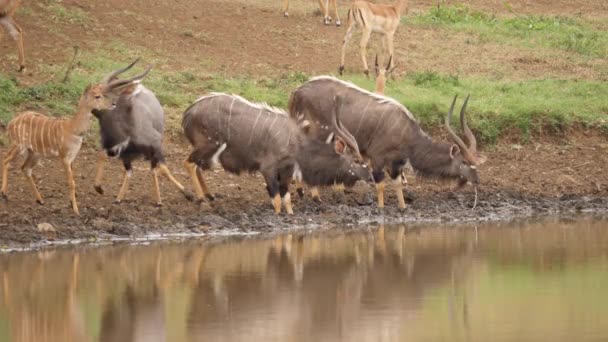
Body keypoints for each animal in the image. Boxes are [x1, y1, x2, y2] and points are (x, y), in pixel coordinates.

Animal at [2, 80, 117, 214]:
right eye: (97, 96)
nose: (114, 104)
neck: (73, 129)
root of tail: (10, 123)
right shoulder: (64, 157)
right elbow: (71, 182)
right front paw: (76, 210)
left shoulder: (72, 158)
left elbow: (73, 180)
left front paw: (72, 203)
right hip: (19, 145)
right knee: (6, 159)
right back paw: (4, 194)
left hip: (34, 153)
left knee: (25, 168)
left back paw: (40, 200)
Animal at [91, 58, 192, 206]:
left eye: (107, 97)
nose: (93, 109)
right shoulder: (120, 152)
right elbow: (113, 161)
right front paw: (107, 192)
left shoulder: (155, 145)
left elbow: (162, 169)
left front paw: (187, 194)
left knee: (154, 168)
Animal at [180, 91, 370, 214]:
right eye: (356, 160)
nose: (370, 176)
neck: (296, 142)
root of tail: (188, 112)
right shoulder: (268, 169)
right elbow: (277, 199)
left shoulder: (286, 171)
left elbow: (287, 199)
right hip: (209, 145)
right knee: (188, 163)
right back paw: (201, 200)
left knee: (197, 166)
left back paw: (209, 196)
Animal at [288, 76, 484, 210]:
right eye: (464, 162)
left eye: (475, 161)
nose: (477, 180)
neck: (408, 135)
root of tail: (297, 92)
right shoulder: (377, 158)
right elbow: (381, 185)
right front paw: (381, 208)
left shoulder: (396, 164)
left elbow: (397, 184)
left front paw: (403, 207)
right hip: (320, 133)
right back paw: (314, 196)